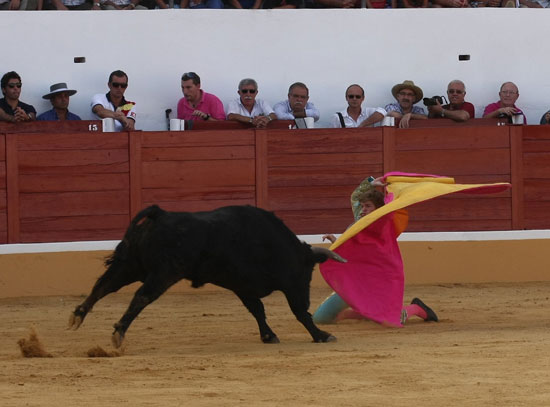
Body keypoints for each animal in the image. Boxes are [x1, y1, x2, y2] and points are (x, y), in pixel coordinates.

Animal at [69, 204, 344, 348]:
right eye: (308, 274)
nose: (309, 298)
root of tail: (161, 214)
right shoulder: (287, 287)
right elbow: (298, 312)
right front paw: (321, 335)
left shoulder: (242, 286)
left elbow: (257, 310)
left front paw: (268, 335)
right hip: (163, 273)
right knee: (141, 297)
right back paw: (118, 332)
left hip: (130, 266)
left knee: (103, 285)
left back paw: (78, 315)